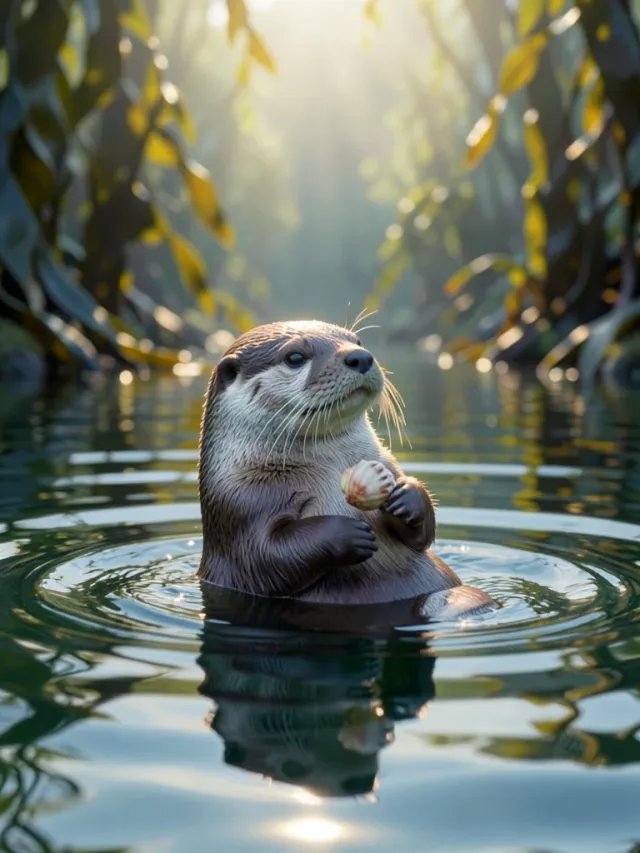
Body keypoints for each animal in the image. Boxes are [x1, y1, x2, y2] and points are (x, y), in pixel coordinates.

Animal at [198, 320, 497, 620]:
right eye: (294, 357)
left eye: (358, 341)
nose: (360, 357)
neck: (333, 470)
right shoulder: (237, 506)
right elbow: (265, 558)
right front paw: (347, 533)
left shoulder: (387, 461)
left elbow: (421, 539)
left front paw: (408, 498)